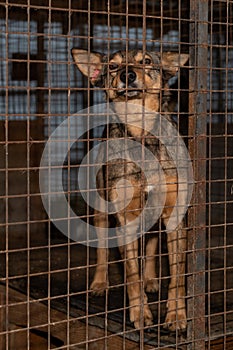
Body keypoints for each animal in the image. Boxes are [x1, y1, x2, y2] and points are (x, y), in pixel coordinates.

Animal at [72, 48, 189, 330]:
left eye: (145, 61)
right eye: (113, 67)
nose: (128, 75)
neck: (141, 133)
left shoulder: (174, 217)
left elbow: (177, 275)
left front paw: (176, 315)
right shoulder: (125, 219)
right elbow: (131, 274)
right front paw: (140, 313)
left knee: (151, 245)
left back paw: (151, 279)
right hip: (102, 212)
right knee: (103, 250)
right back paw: (100, 282)